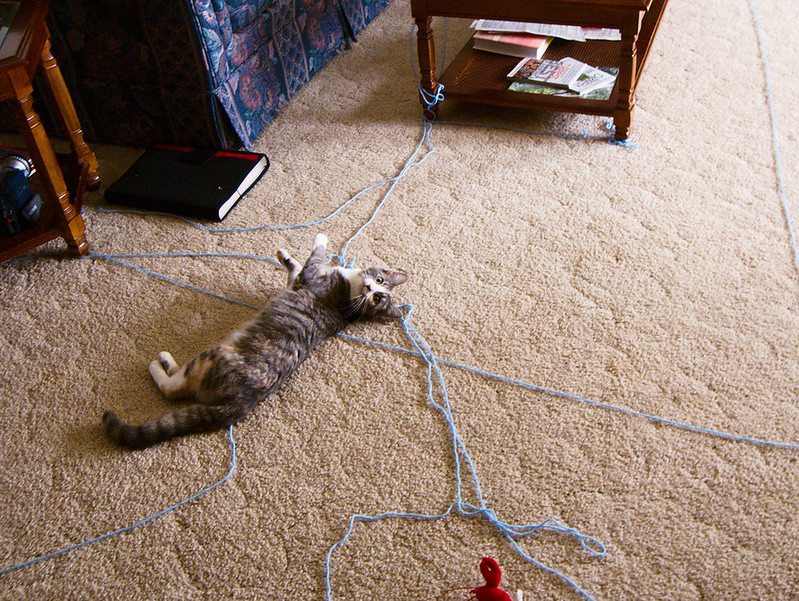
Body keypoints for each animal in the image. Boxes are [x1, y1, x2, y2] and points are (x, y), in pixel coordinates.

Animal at [103, 232, 406, 448]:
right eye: (379, 283)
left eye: (378, 296)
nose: (370, 288)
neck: (350, 297)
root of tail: (241, 403)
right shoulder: (297, 281)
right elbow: (294, 266)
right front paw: (284, 254)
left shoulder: (313, 276)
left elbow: (315, 255)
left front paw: (320, 238)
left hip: (211, 357)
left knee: (172, 387)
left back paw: (161, 362)